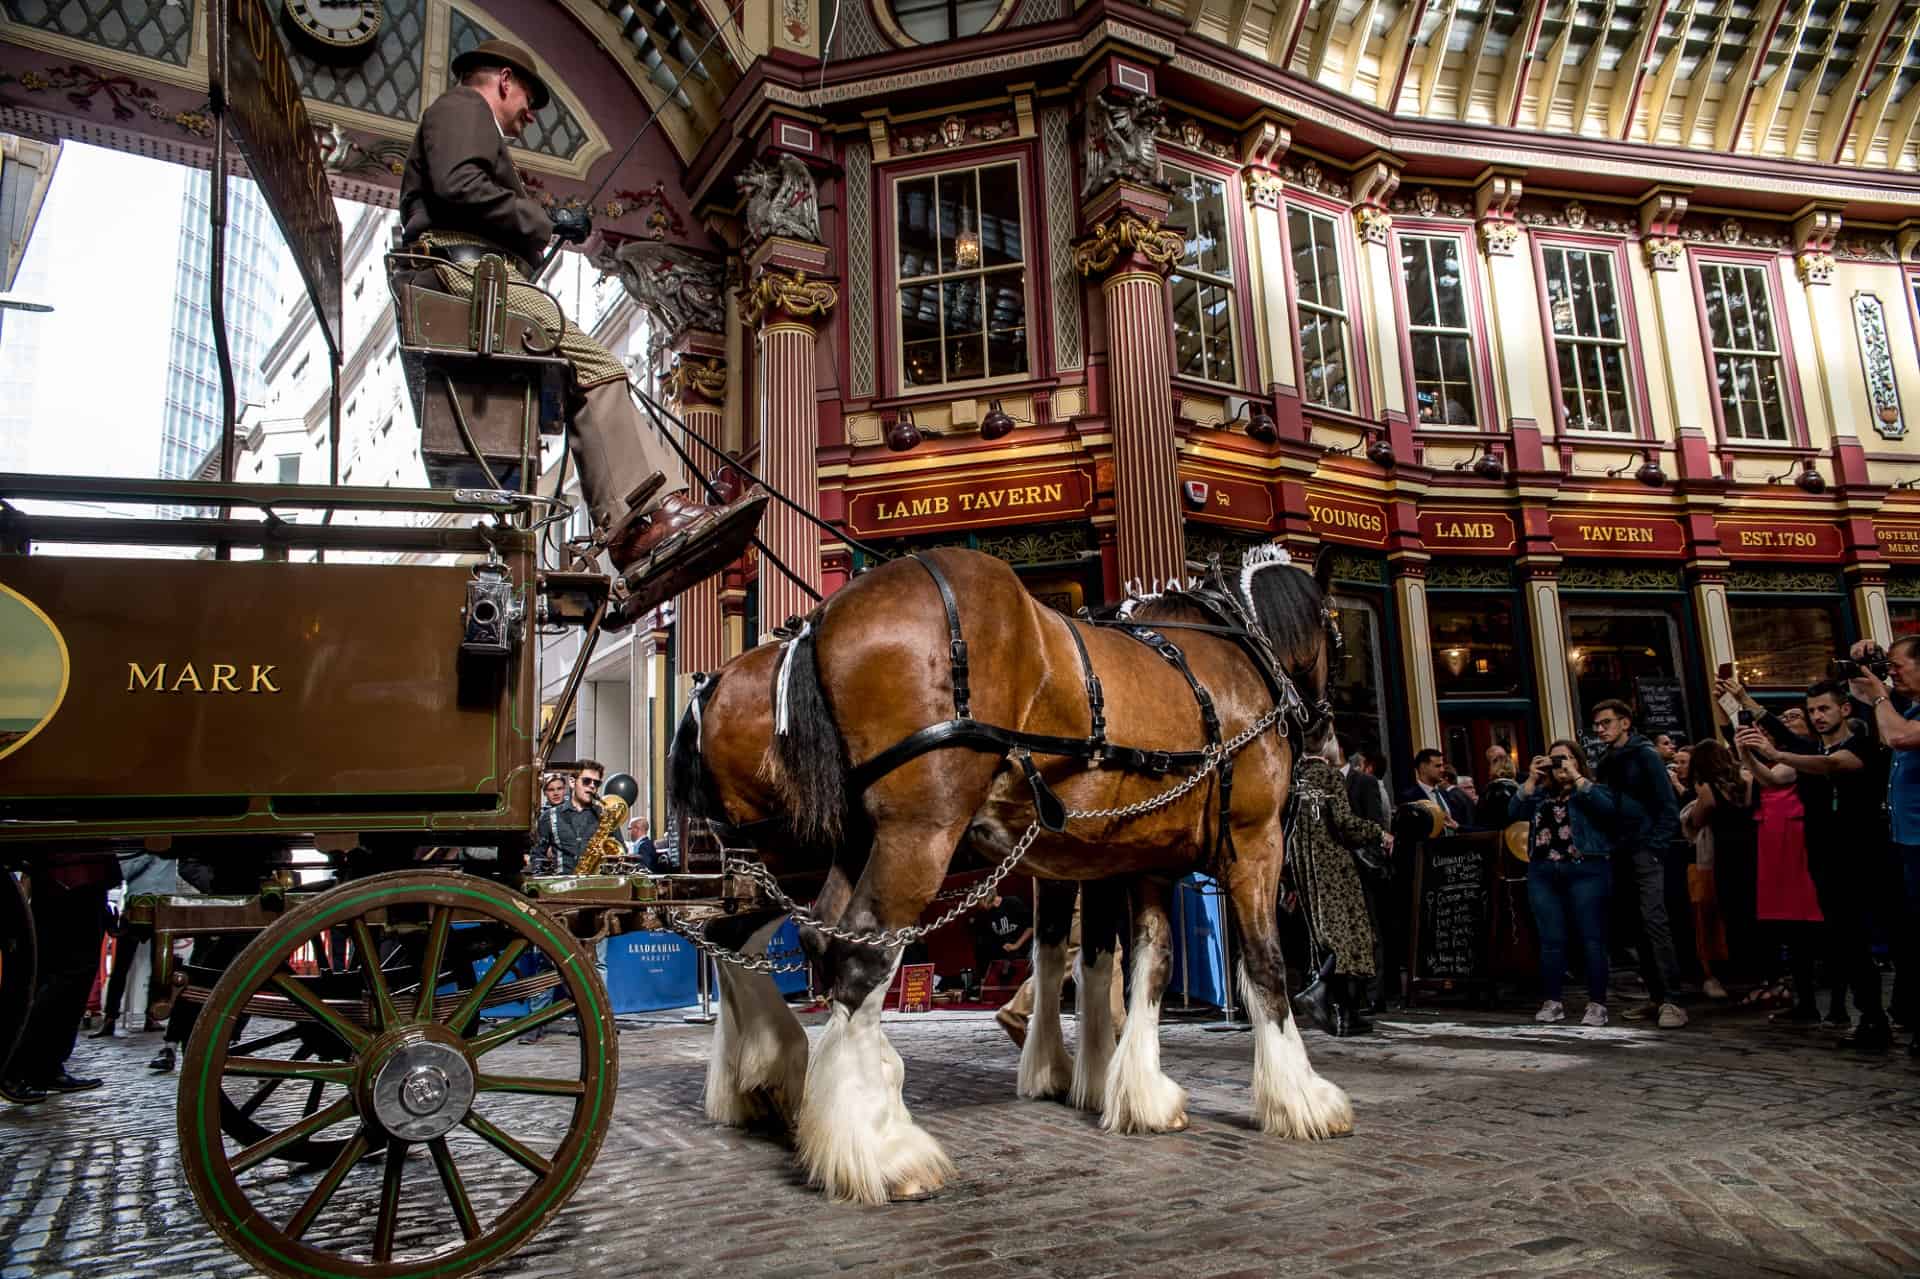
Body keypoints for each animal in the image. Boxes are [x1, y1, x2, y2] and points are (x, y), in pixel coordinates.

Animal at [756, 541, 1359, 1198]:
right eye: (1338, 631)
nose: (1332, 746)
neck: (1236, 654)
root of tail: (828, 615)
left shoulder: (1142, 861)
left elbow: (1139, 962)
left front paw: (1132, 1093)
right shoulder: (1253, 842)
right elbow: (1265, 963)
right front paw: (1302, 1098)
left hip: (859, 839)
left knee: (823, 933)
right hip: (919, 831)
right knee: (866, 951)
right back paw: (880, 1149)